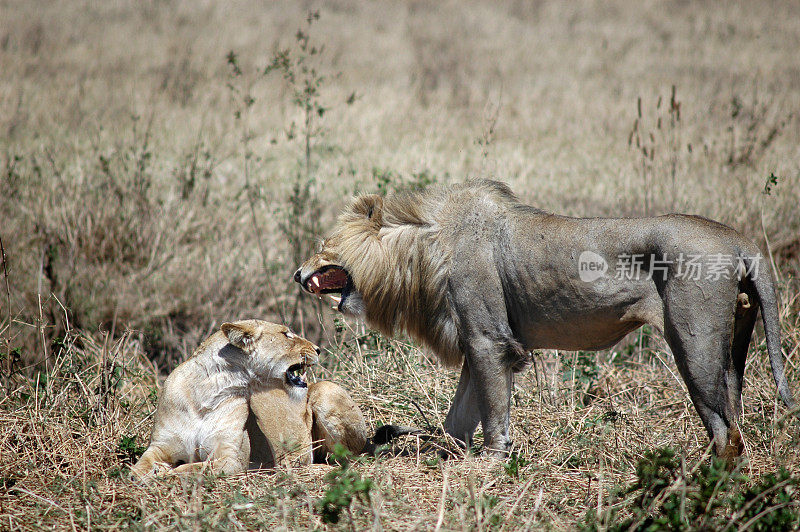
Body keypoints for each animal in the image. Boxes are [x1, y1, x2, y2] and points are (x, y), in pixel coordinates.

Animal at [296, 181, 796, 460]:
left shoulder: (489, 341)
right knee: (735, 421)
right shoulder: (481, 341)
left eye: (323, 247)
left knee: (725, 433)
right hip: (732, 346)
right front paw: (443, 454)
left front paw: (490, 464)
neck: (421, 253)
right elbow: (460, 416)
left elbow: (492, 413)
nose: (297, 274)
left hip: (694, 344)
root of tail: (741, 242)